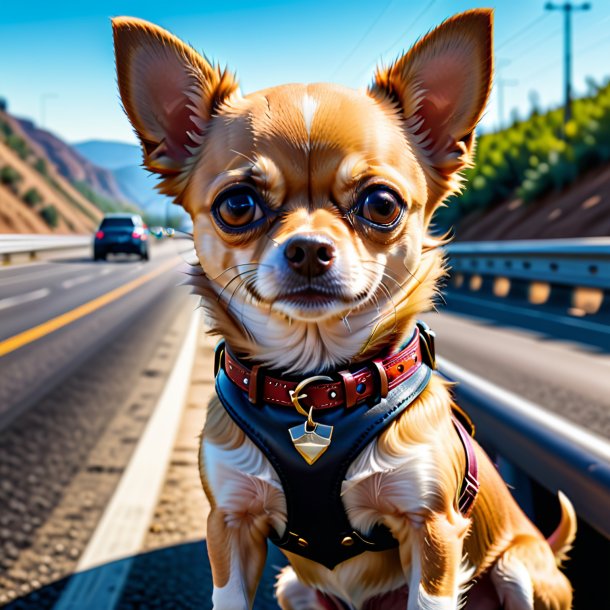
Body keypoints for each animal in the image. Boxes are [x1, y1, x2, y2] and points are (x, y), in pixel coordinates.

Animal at [113, 10, 576, 608]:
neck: (315, 387)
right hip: (293, 587)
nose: (309, 248)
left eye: (381, 203)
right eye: (236, 205)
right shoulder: (230, 524)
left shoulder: (433, 531)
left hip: (520, 568)